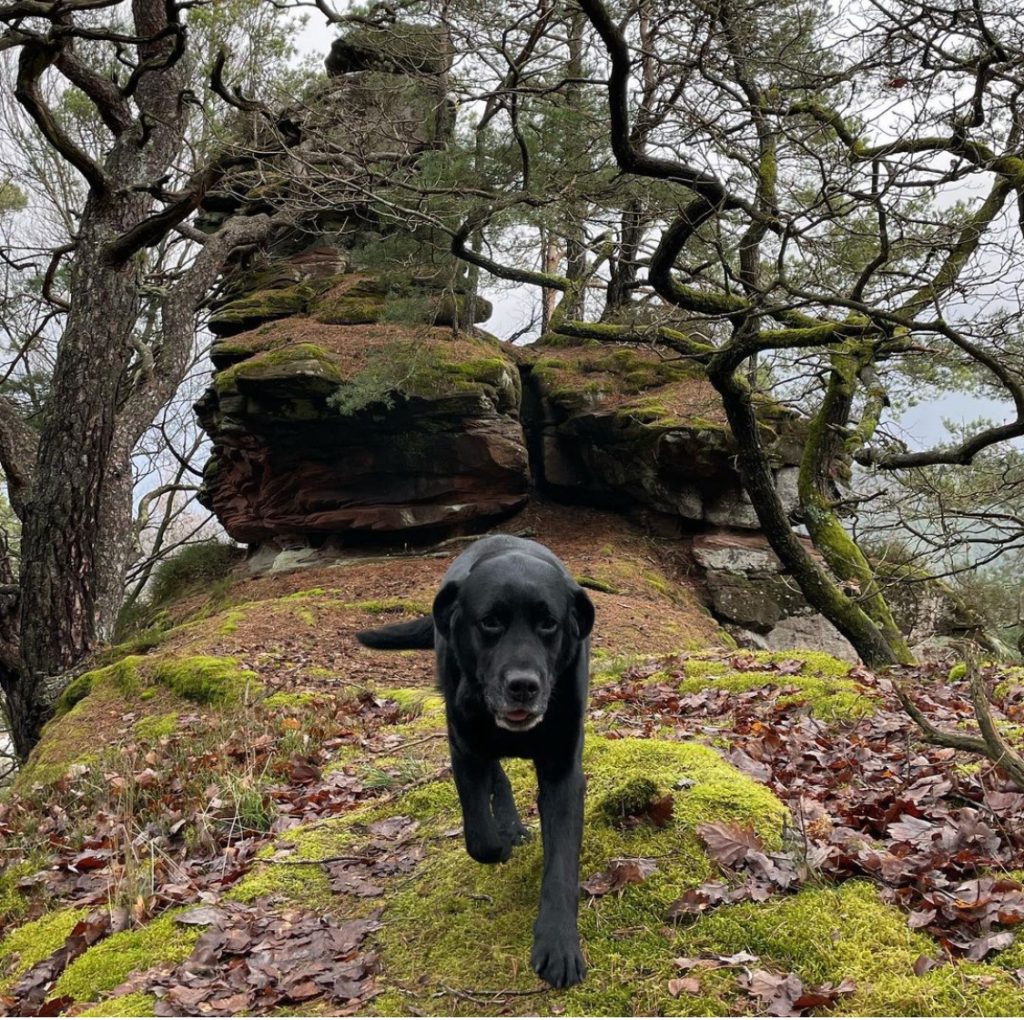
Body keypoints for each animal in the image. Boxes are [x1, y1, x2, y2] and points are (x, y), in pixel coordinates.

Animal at [358, 532, 593, 987]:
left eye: (549, 623)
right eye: (490, 622)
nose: (523, 686)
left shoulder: (563, 770)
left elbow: (561, 865)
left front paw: (558, 944)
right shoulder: (463, 745)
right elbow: (480, 838)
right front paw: (500, 842)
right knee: (497, 777)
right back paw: (509, 825)